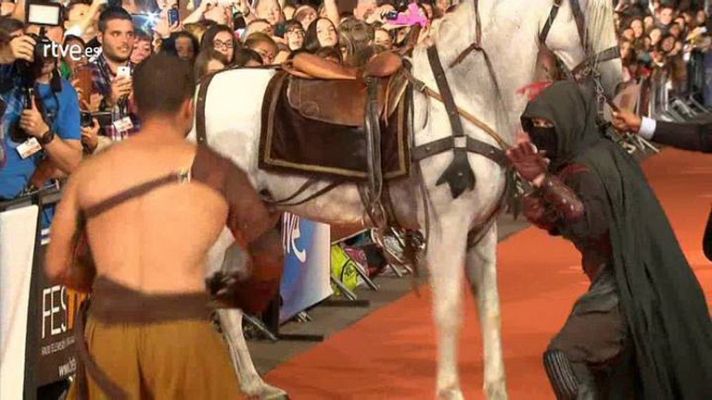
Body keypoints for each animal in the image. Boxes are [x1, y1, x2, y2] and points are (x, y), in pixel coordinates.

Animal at [195, 1, 616, 398]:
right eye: (592, 9)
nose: (613, 81)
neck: (464, 95)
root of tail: (197, 96)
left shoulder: (481, 231)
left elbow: (491, 309)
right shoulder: (447, 228)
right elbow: (448, 310)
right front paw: (450, 391)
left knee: (228, 310)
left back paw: (255, 385)